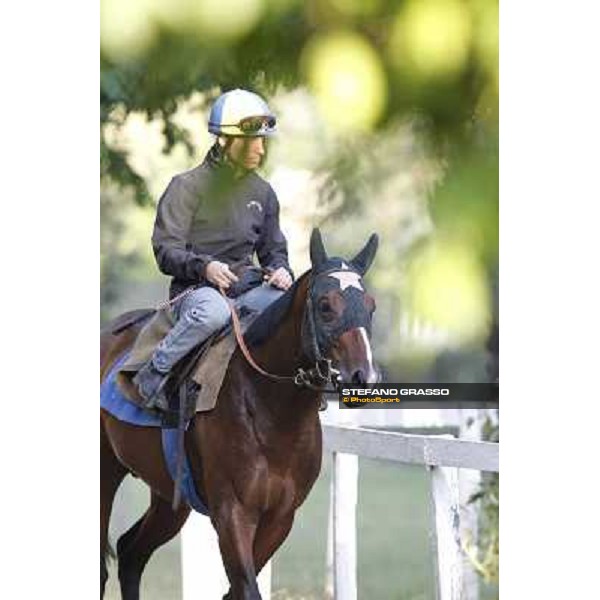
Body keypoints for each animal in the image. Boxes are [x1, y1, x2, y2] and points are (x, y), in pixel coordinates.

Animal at [100, 227, 378, 596]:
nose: (365, 377)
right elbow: (246, 587)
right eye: (325, 306)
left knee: (132, 553)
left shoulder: (280, 516)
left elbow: (236, 589)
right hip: (106, 473)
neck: (272, 412)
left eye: (371, 306)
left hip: (170, 494)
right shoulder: (232, 512)